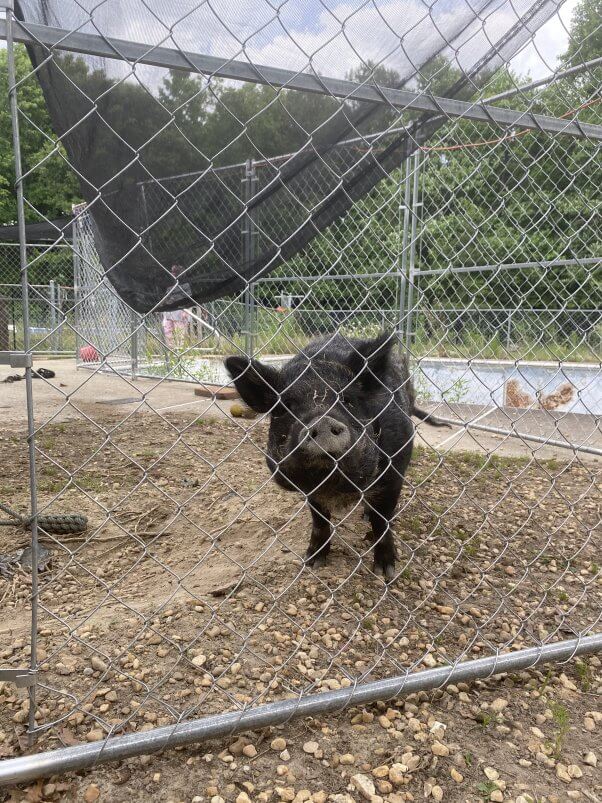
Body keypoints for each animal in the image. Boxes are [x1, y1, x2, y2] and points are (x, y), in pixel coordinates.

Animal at [224, 332, 440, 576]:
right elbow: (320, 521)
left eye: (347, 400)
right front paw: (312, 562)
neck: (335, 487)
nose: (323, 420)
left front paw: (385, 573)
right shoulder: (311, 492)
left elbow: (381, 520)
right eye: (285, 406)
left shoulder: (394, 473)